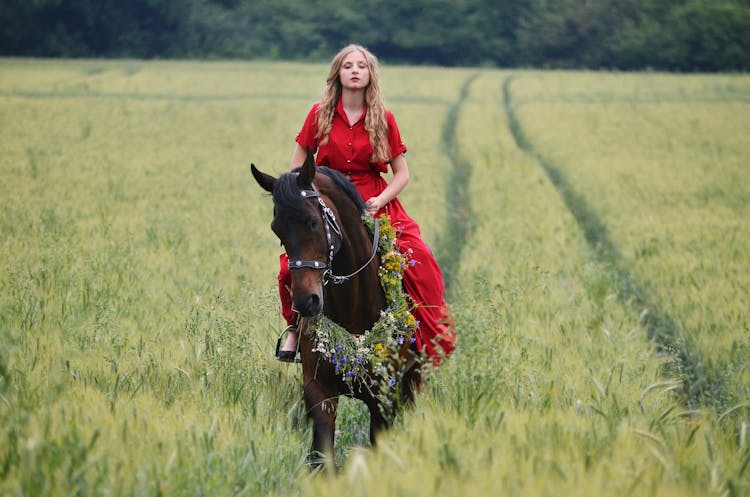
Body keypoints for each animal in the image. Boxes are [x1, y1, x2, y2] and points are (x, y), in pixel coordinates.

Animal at [251, 149, 424, 466]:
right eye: (276, 229)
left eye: (312, 222)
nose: (306, 301)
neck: (353, 305)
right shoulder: (318, 391)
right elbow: (323, 456)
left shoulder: (385, 396)